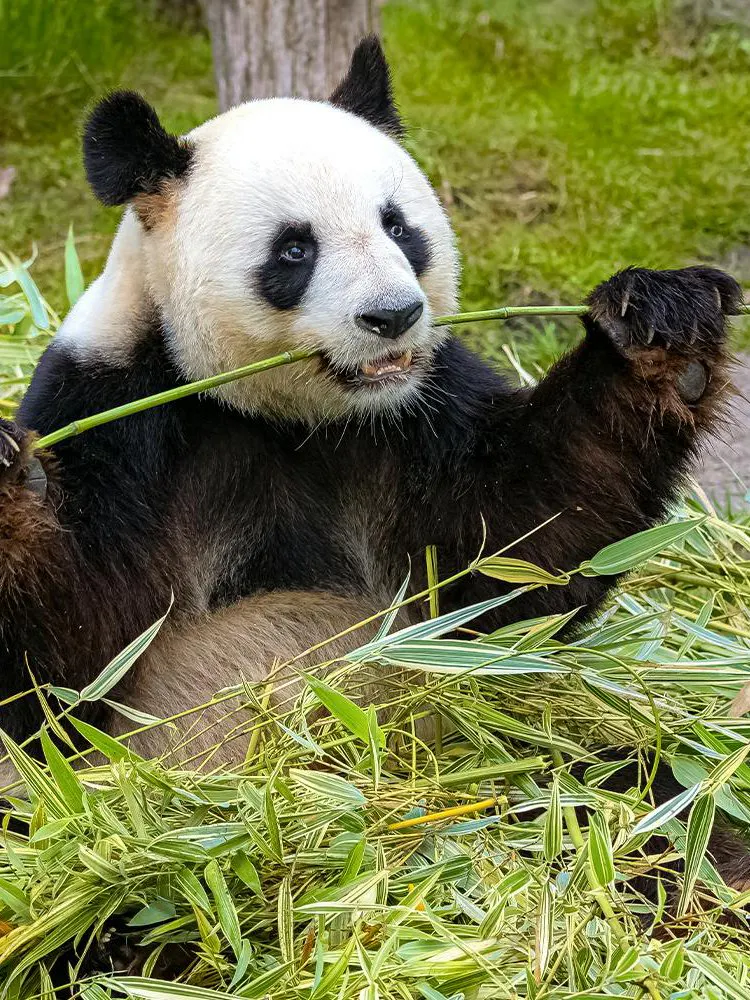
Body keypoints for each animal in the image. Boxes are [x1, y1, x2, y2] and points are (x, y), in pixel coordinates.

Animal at [0, 37, 743, 788]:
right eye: (294, 249)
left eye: (398, 225)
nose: (394, 315)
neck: (285, 418)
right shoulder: (118, 416)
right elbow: (61, 682)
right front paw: (8, 481)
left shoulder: (419, 416)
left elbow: (514, 552)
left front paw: (659, 329)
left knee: (627, 778)